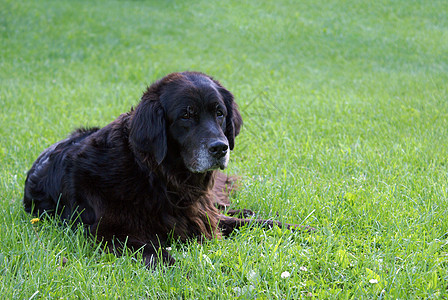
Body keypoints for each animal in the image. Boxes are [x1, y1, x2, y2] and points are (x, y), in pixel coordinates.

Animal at [22, 71, 310, 266]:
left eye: (219, 113)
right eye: (186, 115)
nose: (220, 147)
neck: (158, 179)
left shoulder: (202, 216)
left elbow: (264, 223)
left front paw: (306, 230)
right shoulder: (108, 234)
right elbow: (158, 254)